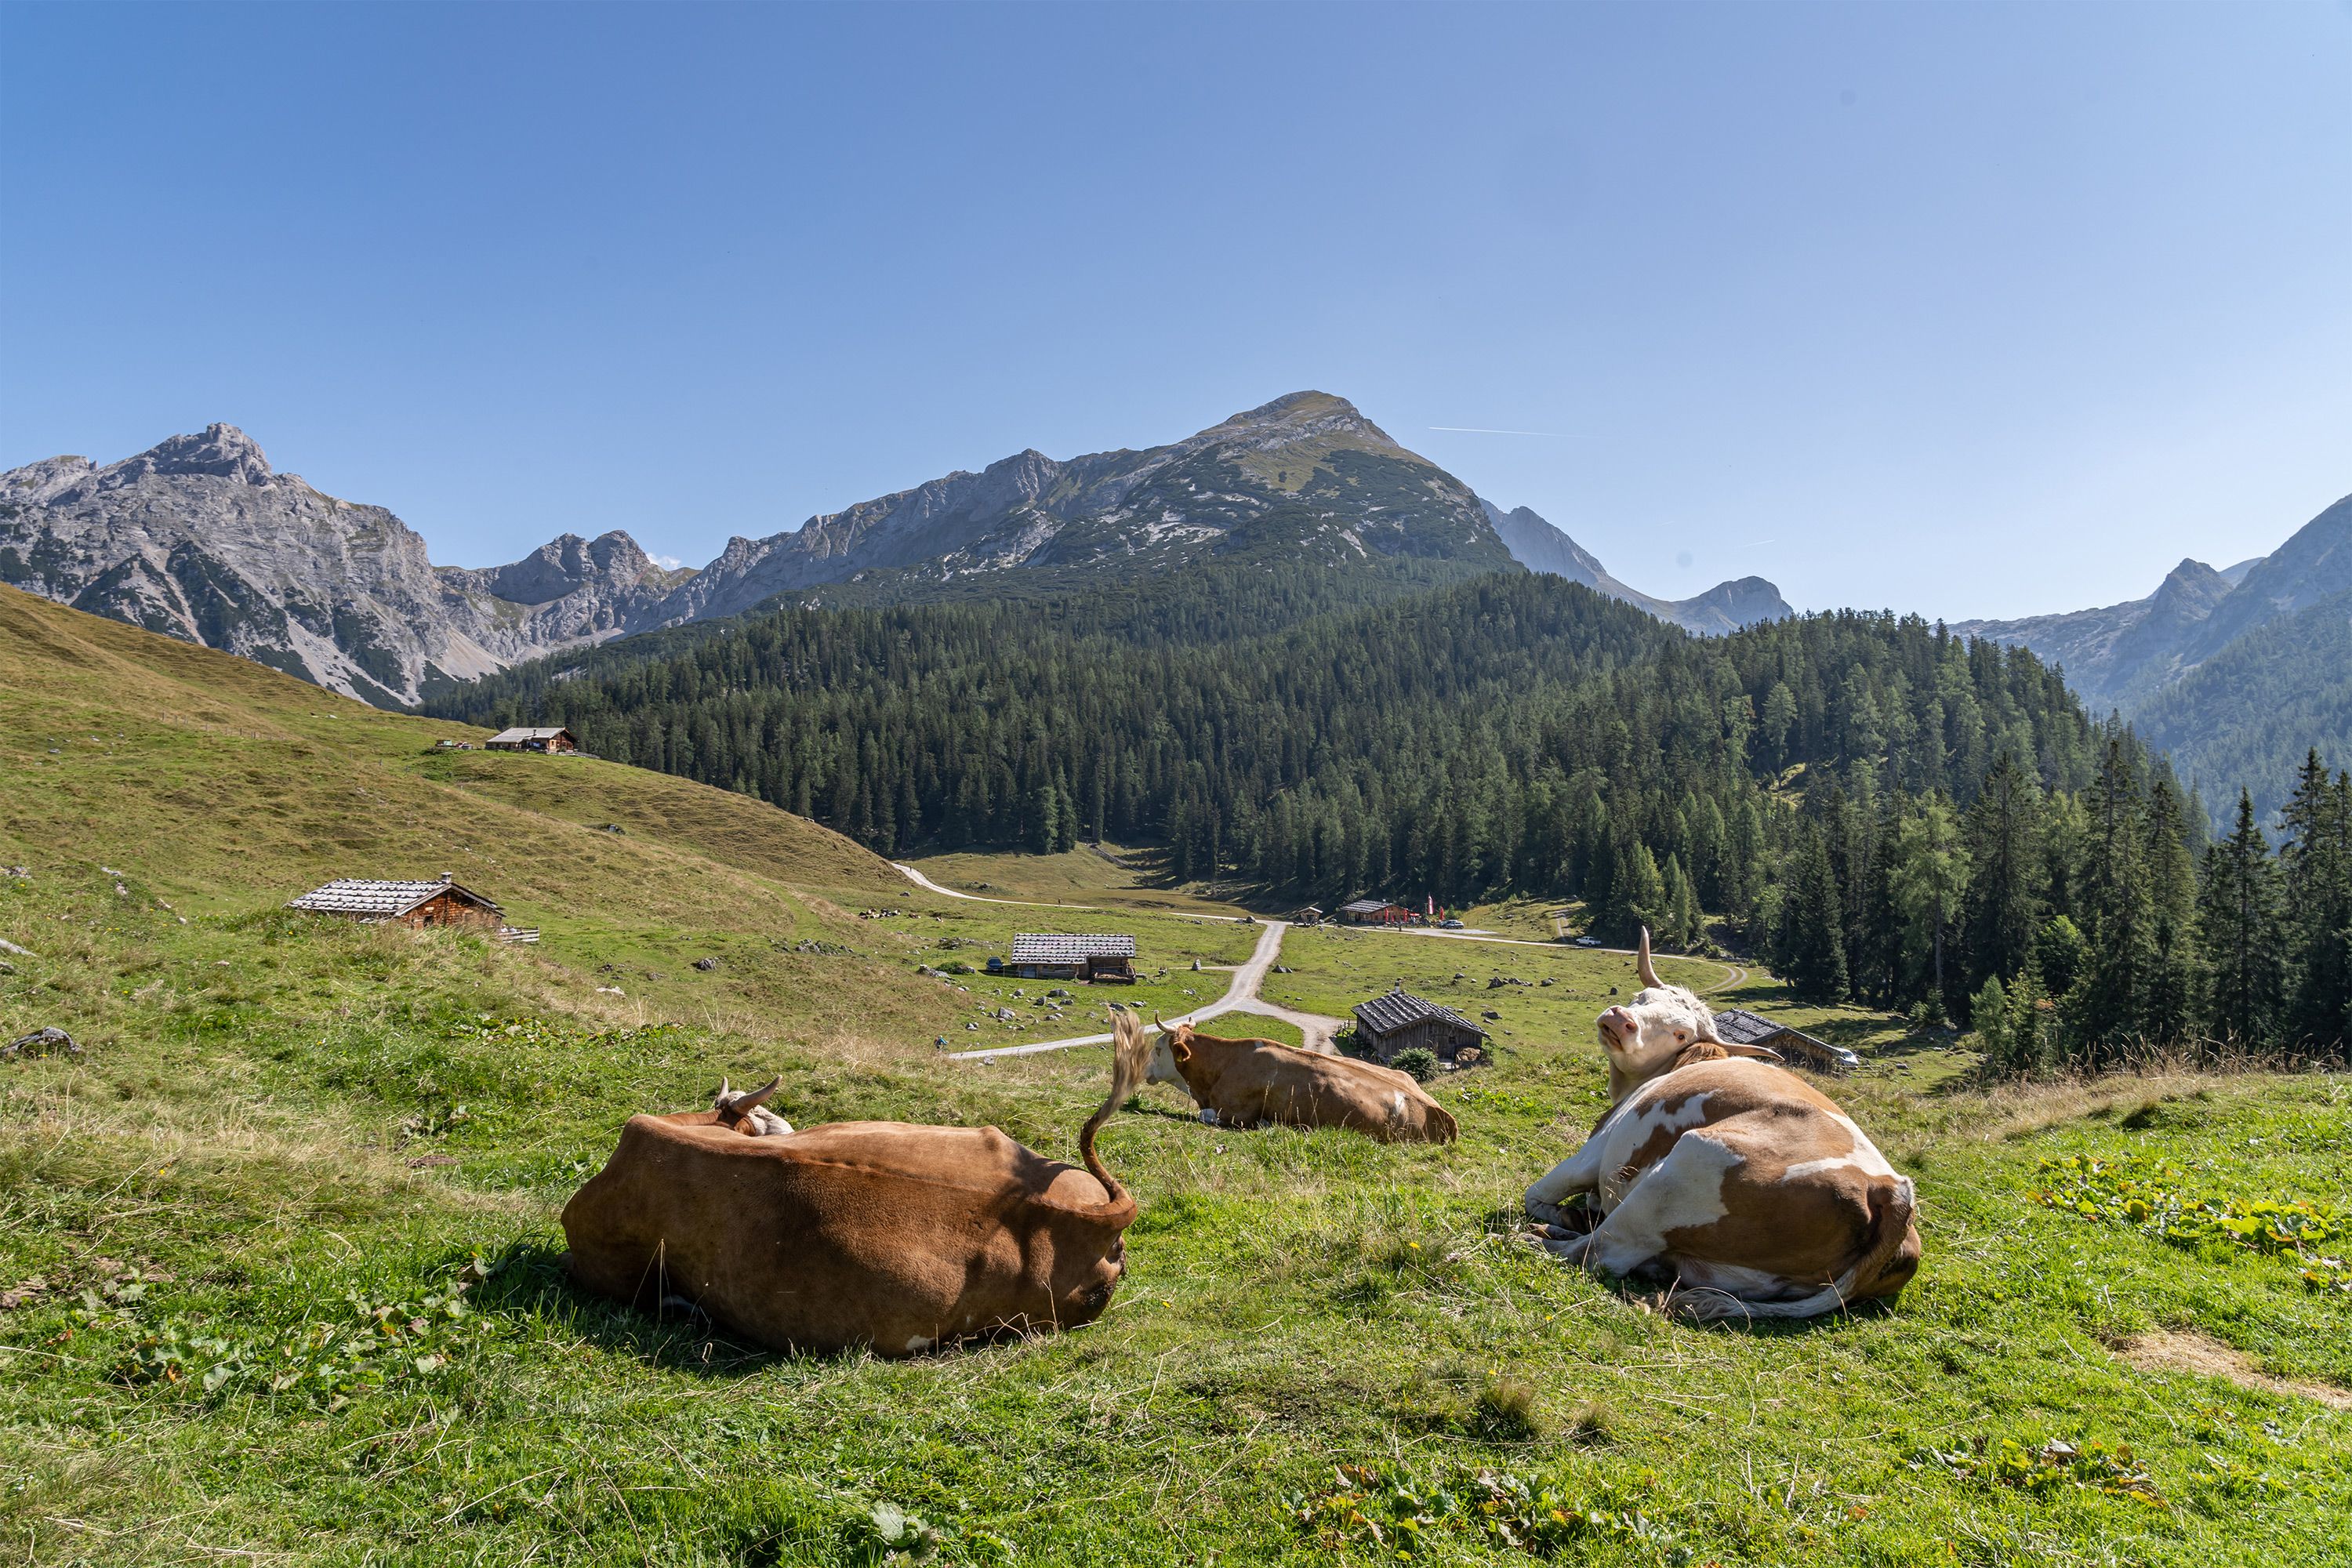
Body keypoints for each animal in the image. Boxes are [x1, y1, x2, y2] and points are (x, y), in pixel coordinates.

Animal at [1522, 929, 1919, 1320]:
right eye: (1641, 997)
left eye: (1680, 1034)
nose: (1620, 1019)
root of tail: (1891, 1191)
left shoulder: (1597, 1148)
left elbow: (1538, 1194)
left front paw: (1560, 1213)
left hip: (1687, 1165)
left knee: (1599, 1253)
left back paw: (1536, 1238)